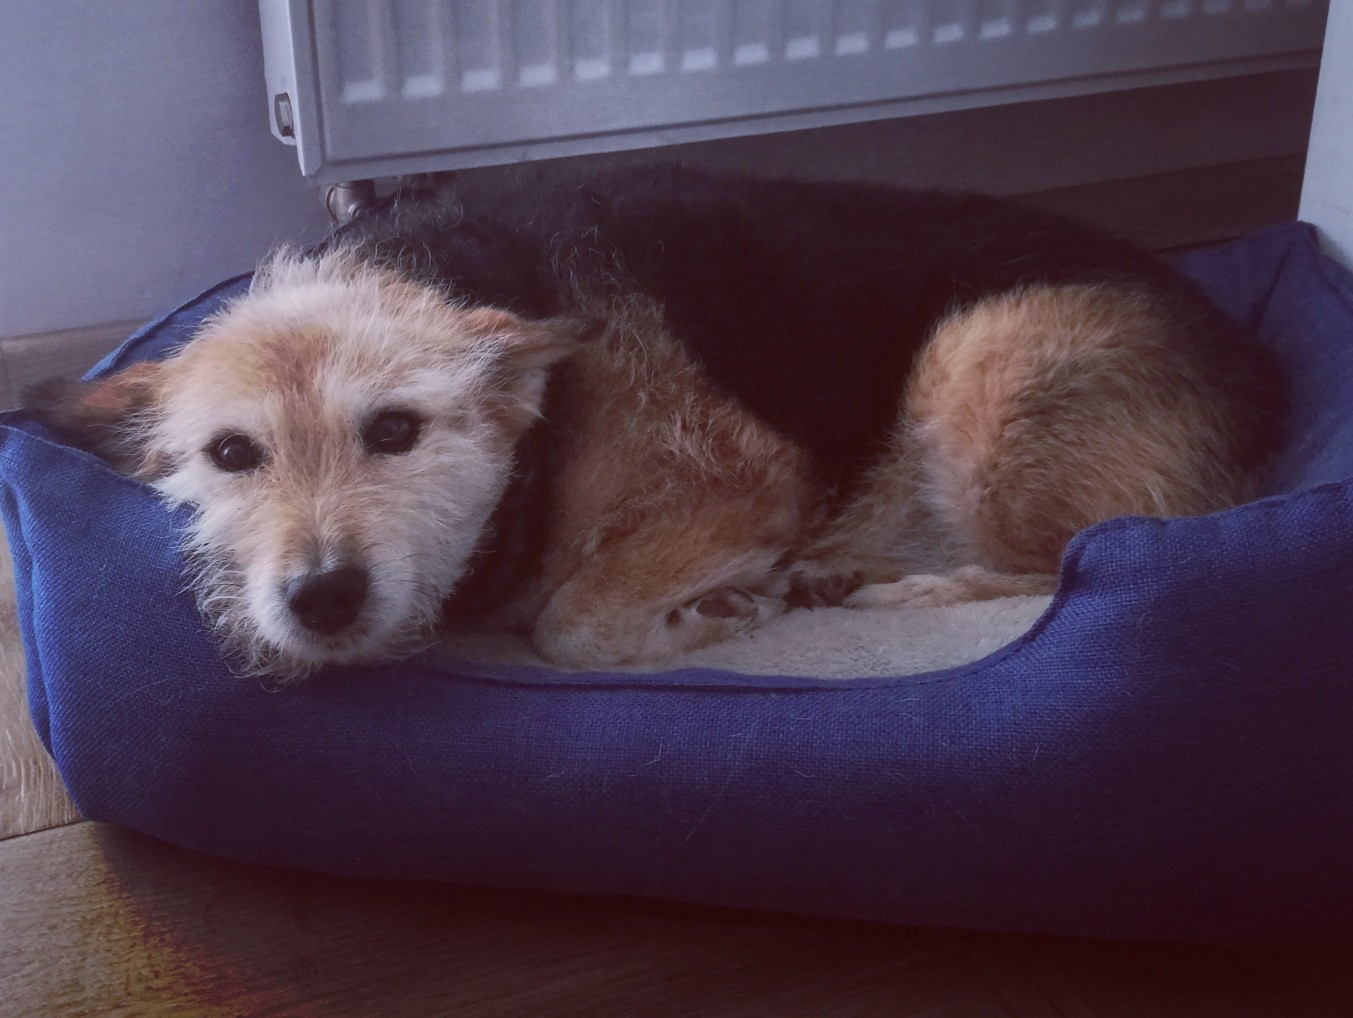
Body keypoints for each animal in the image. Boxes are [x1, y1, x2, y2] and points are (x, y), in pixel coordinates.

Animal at [26, 165, 1286, 678]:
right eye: (230, 454)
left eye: (396, 431)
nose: (321, 598)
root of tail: (1259, 363)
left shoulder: (745, 482)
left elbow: (573, 625)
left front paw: (717, 615)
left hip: (979, 363)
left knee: (1071, 562)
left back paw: (887, 587)